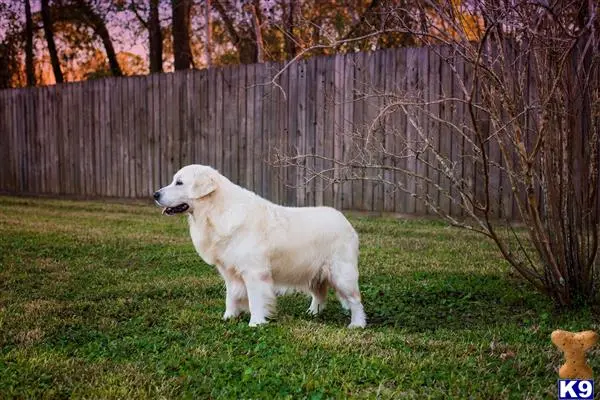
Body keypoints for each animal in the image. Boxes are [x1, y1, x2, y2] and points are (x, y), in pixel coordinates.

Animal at [154, 164, 366, 326]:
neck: (217, 211)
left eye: (179, 182)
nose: (155, 194)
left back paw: (357, 324)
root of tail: (345, 220)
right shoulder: (229, 272)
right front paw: (228, 317)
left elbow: (255, 300)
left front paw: (255, 323)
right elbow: (231, 297)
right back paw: (313, 313)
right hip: (313, 273)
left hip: (342, 274)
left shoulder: (254, 272)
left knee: (356, 300)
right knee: (319, 295)